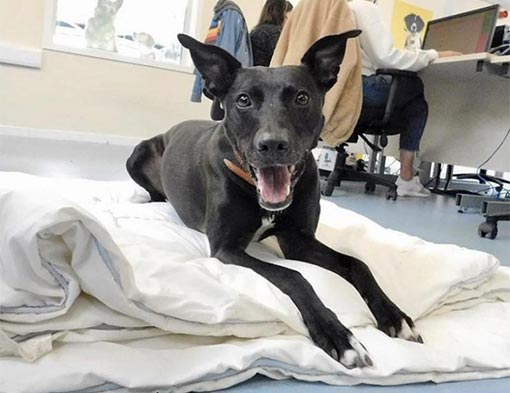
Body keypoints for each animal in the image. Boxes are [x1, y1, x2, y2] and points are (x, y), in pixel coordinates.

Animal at [127, 30, 422, 368]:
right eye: (243, 100)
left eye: (302, 97)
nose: (272, 145)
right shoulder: (226, 248)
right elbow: (293, 275)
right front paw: (337, 334)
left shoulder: (298, 241)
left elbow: (357, 262)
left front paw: (394, 315)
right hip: (137, 154)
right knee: (152, 191)